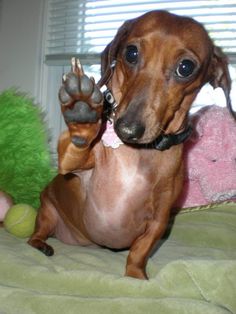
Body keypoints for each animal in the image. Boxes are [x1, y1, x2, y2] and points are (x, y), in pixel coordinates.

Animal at [28, 10, 233, 280]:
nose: (127, 129)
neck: (138, 154)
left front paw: (135, 276)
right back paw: (40, 244)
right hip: (47, 212)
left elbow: (140, 250)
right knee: (34, 235)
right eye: (131, 53)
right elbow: (74, 149)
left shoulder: (160, 218)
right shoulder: (74, 166)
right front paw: (82, 111)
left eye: (186, 67)